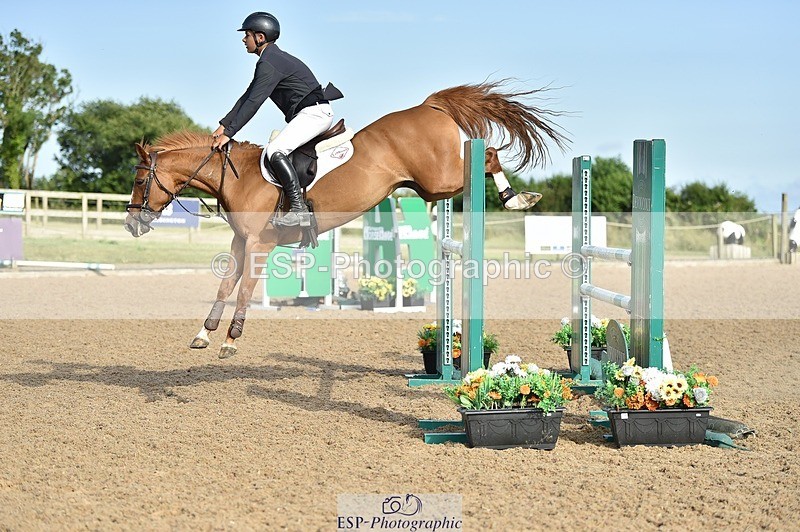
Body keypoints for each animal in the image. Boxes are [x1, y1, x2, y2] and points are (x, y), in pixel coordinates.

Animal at [124, 81, 568, 359]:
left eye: (140, 179)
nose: (131, 225)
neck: (239, 175)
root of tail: (429, 104)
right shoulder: (239, 242)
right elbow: (225, 285)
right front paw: (203, 334)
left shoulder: (259, 245)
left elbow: (246, 289)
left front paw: (231, 342)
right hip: (430, 187)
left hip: (439, 179)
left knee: (489, 154)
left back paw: (518, 198)